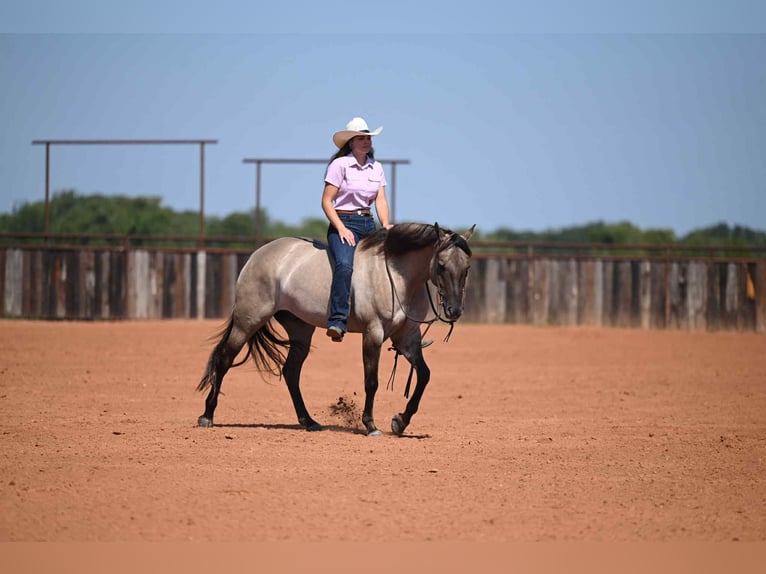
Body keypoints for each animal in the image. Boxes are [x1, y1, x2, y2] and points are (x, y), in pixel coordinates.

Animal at [196, 222, 475, 436]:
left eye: (467, 268)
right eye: (441, 265)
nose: (454, 310)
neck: (397, 278)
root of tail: (257, 255)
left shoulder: (407, 338)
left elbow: (424, 375)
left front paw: (400, 421)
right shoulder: (373, 334)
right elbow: (371, 381)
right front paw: (371, 425)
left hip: (300, 331)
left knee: (291, 372)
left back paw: (309, 421)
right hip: (248, 321)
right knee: (224, 359)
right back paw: (207, 415)